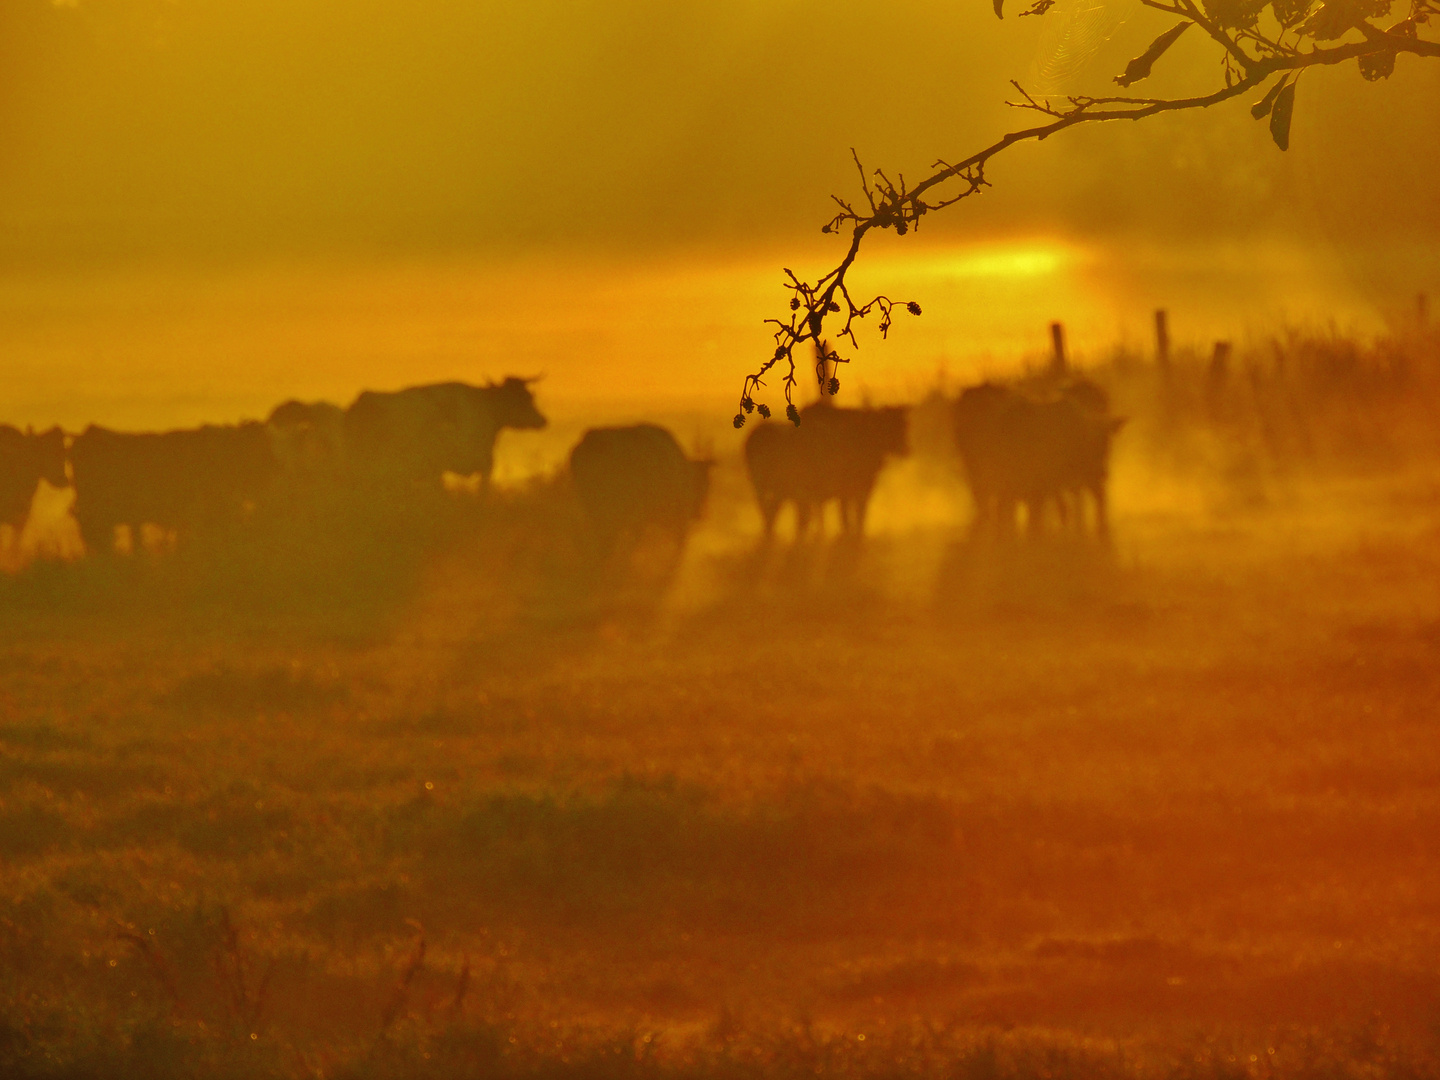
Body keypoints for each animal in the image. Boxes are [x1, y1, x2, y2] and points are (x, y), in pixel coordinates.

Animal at [743, 403, 910, 541]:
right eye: (887, 425)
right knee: (773, 514)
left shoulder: (861, 491)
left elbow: (857, 518)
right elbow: (848, 519)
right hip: (770, 488)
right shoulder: (848, 491)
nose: (905, 449)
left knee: (774, 514)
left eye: (903, 424)